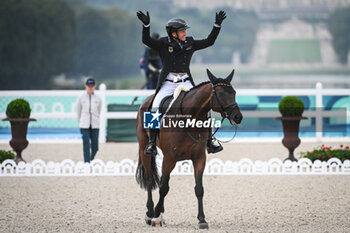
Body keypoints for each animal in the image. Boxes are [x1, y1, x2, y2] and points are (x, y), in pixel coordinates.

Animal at [135, 69, 242, 229]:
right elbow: (164, 187)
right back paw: (150, 214)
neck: (189, 119)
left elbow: (199, 189)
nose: (237, 117)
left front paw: (202, 220)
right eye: (221, 94)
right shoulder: (170, 158)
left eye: (233, 92)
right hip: (144, 149)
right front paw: (156, 215)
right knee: (149, 179)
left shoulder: (199, 157)